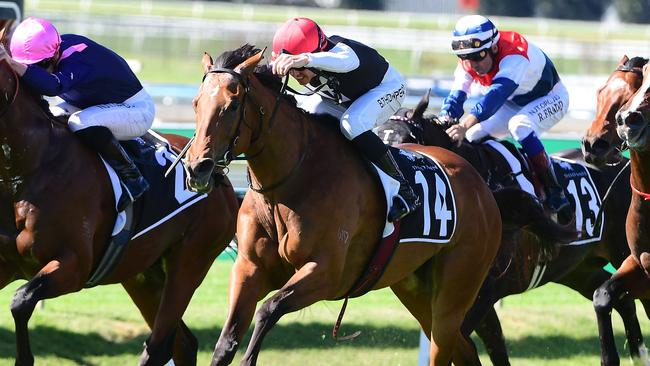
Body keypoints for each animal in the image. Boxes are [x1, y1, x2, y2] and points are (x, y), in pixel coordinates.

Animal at [0, 55, 238, 366]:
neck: (34, 165)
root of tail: (217, 178)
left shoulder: (74, 266)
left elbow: (21, 301)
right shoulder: (5, 262)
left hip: (188, 264)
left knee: (160, 345)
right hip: (142, 275)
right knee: (182, 344)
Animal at [182, 45, 502, 366]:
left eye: (233, 105)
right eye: (196, 104)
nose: (198, 168)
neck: (292, 178)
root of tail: (479, 185)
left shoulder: (326, 274)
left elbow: (268, 310)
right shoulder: (250, 268)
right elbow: (227, 340)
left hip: (455, 289)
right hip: (413, 286)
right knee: (464, 348)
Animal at [374, 89, 644, 366]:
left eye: (406, 142)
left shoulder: (479, 297)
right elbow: (493, 348)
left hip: (623, 253)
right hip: (578, 270)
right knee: (621, 300)